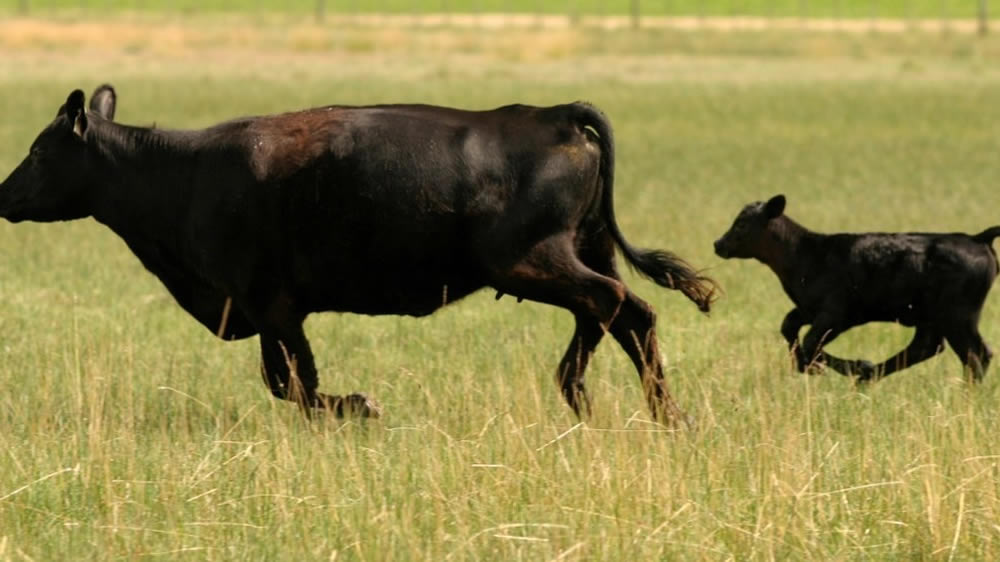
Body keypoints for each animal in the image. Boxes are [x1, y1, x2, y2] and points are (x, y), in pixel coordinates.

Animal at [0, 85, 720, 422]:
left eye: (37, 150)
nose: (3, 194)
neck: (183, 176)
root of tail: (553, 113)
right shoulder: (270, 310)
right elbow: (288, 381)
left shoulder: (270, 304)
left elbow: (291, 382)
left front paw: (361, 406)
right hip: (578, 252)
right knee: (627, 314)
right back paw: (655, 415)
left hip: (533, 260)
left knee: (611, 305)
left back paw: (597, 399)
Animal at [716, 192, 996, 380]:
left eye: (741, 223)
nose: (718, 244)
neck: (806, 254)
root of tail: (977, 238)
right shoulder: (808, 308)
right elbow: (789, 328)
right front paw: (808, 365)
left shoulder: (837, 314)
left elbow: (810, 341)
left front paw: (835, 365)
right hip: (932, 316)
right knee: (927, 347)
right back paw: (869, 376)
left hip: (958, 315)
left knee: (976, 355)